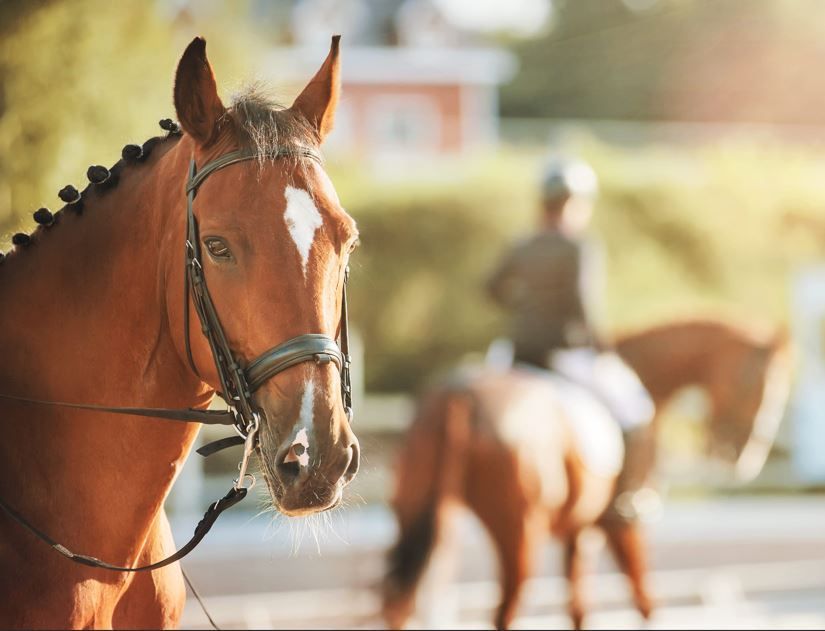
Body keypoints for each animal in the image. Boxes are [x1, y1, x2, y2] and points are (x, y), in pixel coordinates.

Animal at [382, 318, 791, 630]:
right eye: (754, 385)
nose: (744, 456)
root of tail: (459, 395)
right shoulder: (618, 524)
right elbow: (644, 598)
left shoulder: (579, 530)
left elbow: (579, 609)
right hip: (519, 531)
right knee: (505, 613)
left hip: (420, 515)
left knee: (399, 604)